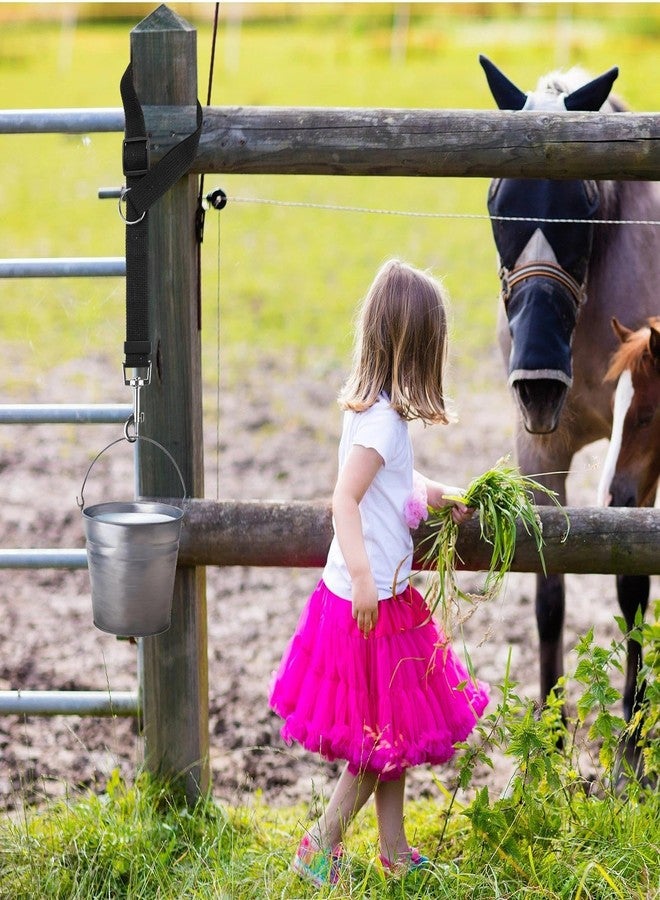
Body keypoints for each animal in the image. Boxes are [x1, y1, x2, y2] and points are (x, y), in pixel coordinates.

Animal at [479, 55, 660, 772]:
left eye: (582, 204)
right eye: (497, 199)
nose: (536, 384)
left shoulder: (639, 456)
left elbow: (632, 585)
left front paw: (634, 742)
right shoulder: (541, 453)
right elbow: (549, 591)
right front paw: (552, 741)